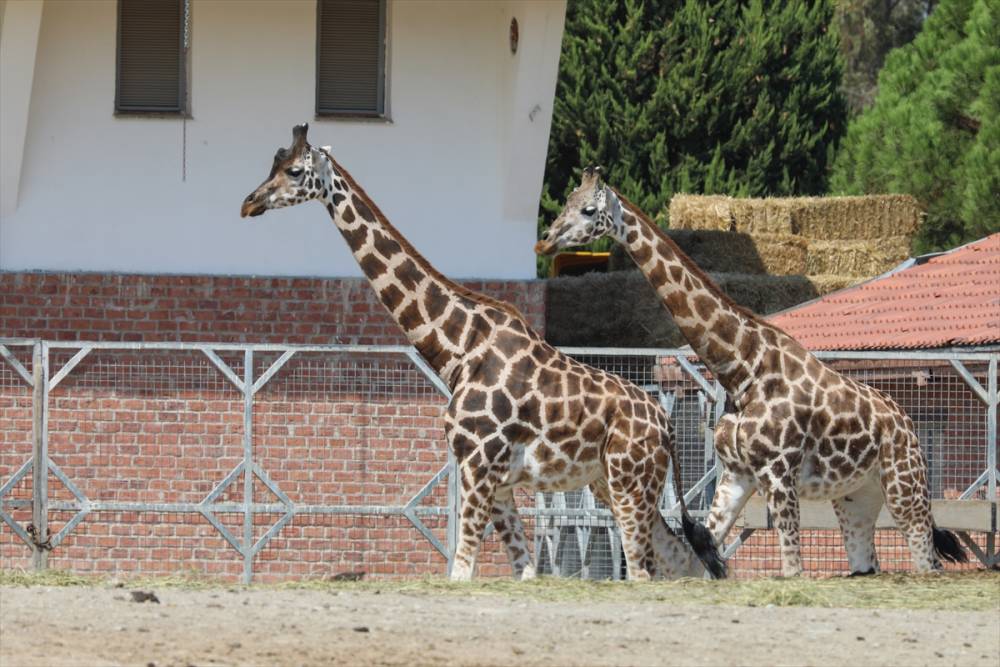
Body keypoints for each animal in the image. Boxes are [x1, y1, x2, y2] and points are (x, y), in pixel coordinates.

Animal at [242, 126, 728, 584]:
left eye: (294, 171)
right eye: (272, 163)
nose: (249, 203)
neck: (458, 347)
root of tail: (666, 424)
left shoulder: (477, 466)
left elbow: (461, 570)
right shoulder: (498, 482)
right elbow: (524, 569)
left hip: (631, 483)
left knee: (647, 568)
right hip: (610, 483)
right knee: (682, 558)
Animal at [540, 168, 968, 580]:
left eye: (588, 211)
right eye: (567, 203)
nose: (544, 241)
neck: (741, 368)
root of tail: (906, 422)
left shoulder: (778, 473)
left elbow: (792, 569)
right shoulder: (736, 475)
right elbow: (699, 555)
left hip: (904, 484)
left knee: (927, 559)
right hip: (857, 495)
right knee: (866, 560)